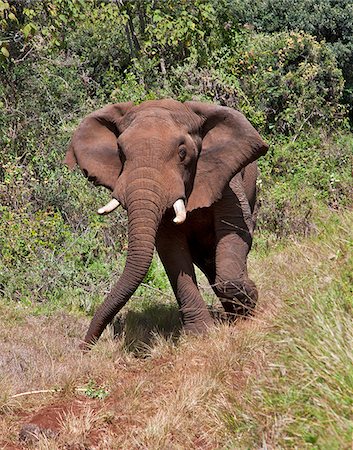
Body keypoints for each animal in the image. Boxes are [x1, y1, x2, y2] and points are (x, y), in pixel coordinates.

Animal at [64, 98, 266, 348]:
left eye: (182, 153)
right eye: (120, 152)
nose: (84, 347)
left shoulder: (226, 179)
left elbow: (234, 231)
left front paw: (250, 299)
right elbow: (171, 249)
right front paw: (200, 335)